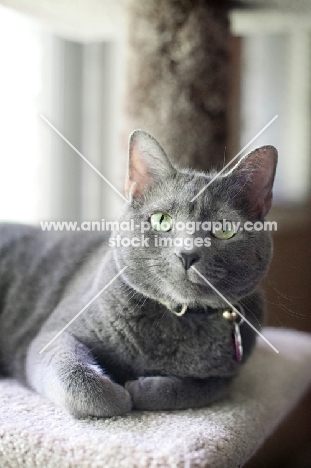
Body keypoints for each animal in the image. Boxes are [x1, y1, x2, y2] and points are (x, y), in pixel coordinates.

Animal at [0, 131, 278, 416]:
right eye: (161, 220)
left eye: (224, 229)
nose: (187, 254)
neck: (176, 317)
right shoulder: (53, 334)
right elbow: (82, 382)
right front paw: (120, 396)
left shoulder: (226, 376)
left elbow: (194, 389)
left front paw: (140, 388)